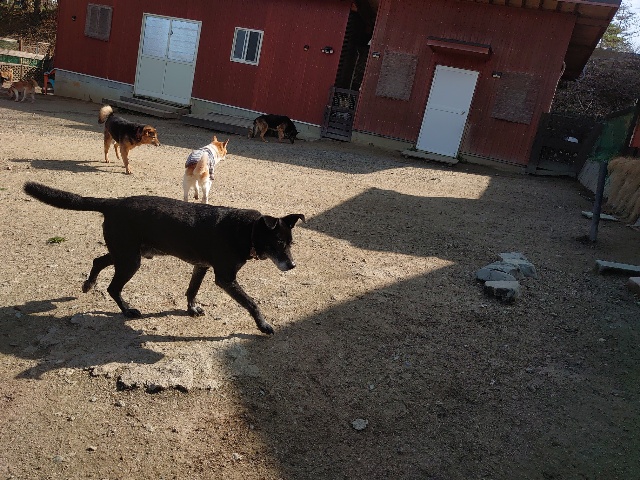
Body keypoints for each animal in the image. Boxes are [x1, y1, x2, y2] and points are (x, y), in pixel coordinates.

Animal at [23, 182, 305, 335]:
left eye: (291, 244)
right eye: (279, 243)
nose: (292, 265)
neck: (247, 231)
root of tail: (113, 203)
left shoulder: (201, 267)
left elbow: (192, 290)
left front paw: (191, 308)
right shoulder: (225, 278)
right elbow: (251, 303)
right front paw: (263, 325)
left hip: (126, 253)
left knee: (98, 260)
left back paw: (88, 284)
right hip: (130, 259)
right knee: (113, 287)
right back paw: (127, 310)